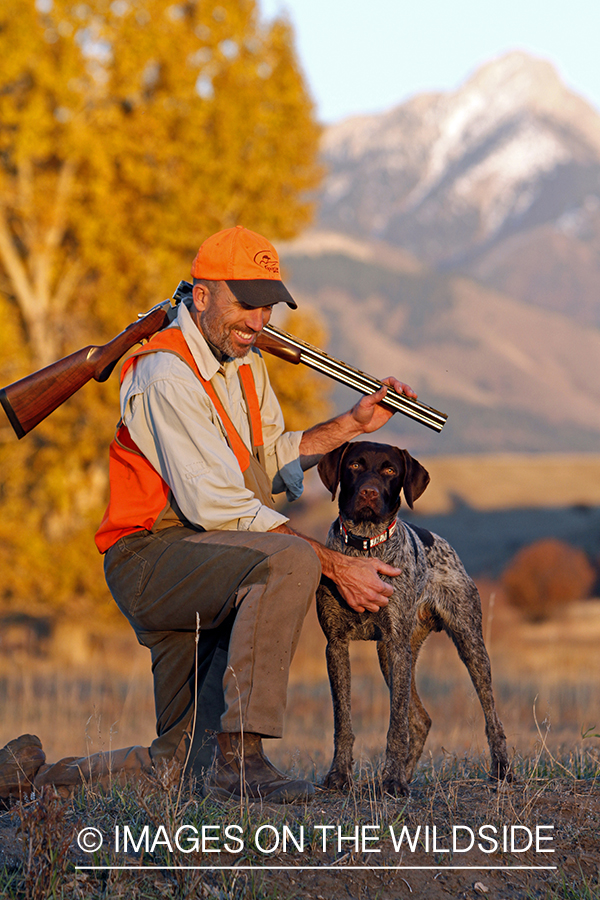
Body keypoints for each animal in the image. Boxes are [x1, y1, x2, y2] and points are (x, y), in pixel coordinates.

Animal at [316, 442, 508, 796]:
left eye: (390, 470)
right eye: (354, 465)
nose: (368, 492)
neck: (366, 546)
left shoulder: (396, 643)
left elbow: (396, 725)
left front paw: (392, 780)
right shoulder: (336, 644)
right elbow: (343, 722)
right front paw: (339, 776)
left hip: (467, 643)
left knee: (490, 714)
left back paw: (502, 769)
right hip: (390, 656)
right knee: (421, 720)